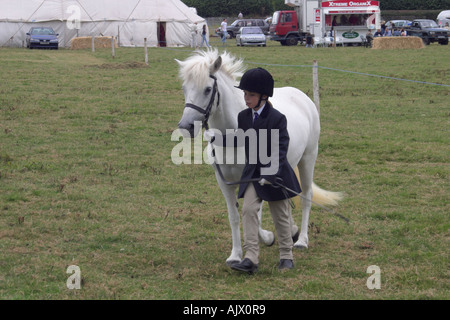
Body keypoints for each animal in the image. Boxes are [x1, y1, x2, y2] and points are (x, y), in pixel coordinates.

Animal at [176, 50, 342, 264]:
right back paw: (292, 231)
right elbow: (234, 217)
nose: (185, 127)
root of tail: (302, 97)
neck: (234, 137)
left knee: (306, 196)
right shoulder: (224, 182)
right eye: (184, 88)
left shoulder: (254, 179)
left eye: (207, 89)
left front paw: (267, 238)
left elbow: (255, 213)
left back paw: (301, 240)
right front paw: (235, 255)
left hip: (308, 158)